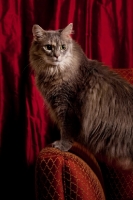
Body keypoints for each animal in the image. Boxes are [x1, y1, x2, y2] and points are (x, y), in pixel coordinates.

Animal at [29, 23, 133, 169]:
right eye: (48, 47)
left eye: (63, 47)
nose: (57, 56)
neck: (55, 72)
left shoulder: (66, 107)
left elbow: (66, 130)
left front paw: (62, 146)